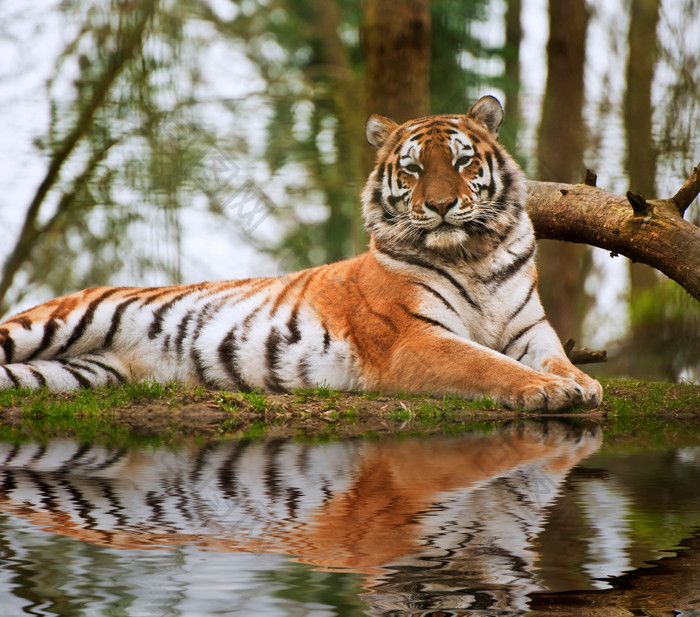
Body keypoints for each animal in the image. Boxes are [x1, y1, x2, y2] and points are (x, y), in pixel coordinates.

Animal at [0, 95, 600, 410]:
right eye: (411, 169)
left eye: (461, 161)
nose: (441, 205)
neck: (471, 256)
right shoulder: (415, 338)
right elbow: (485, 363)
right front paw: (548, 390)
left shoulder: (529, 328)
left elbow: (553, 355)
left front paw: (581, 382)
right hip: (54, 323)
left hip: (77, 374)